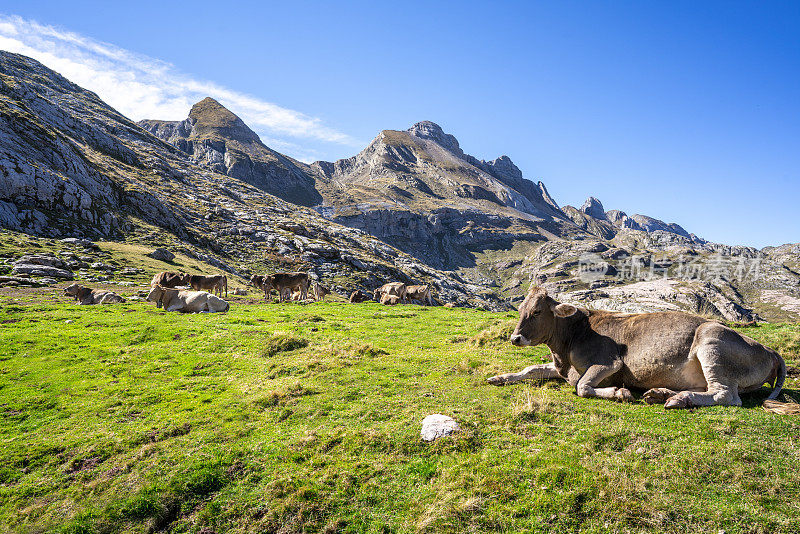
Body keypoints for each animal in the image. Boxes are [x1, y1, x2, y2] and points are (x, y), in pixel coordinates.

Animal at [488, 286, 788, 412]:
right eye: (520, 309)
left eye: (537, 311)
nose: (515, 338)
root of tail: (771, 350)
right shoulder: (561, 367)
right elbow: (530, 369)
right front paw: (499, 377)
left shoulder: (610, 363)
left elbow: (582, 386)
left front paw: (619, 393)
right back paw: (661, 393)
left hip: (711, 340)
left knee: (725, 395)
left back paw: (678, 399)